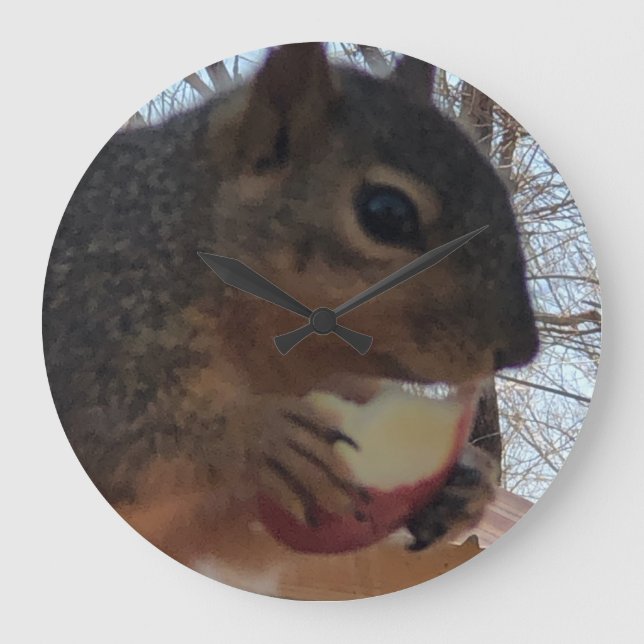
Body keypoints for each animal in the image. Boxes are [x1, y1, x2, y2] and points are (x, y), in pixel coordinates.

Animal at [43, 43, 538, 581]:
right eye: (386, 212)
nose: (521, 350)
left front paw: (464, 485)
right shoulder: (93, 308)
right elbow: (117, 425)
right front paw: (265, 435)